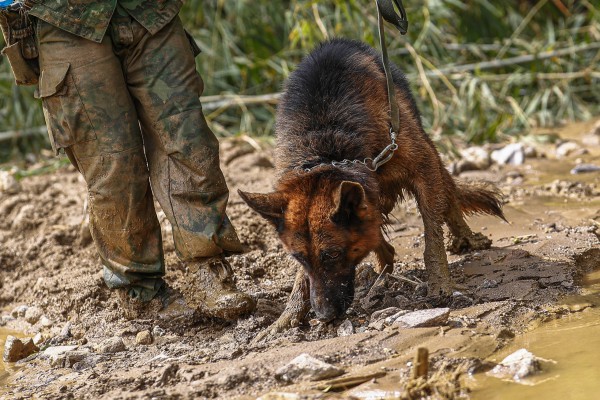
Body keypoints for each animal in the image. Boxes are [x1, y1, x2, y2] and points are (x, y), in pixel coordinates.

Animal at [237, 38, 504, 338]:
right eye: (299, 258)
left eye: (332, 254)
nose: (324, 316)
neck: (327, 151)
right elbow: (302, 278)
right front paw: (289, 314)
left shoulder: (422, 167)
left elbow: (432, 238)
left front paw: (439, 283)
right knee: (381, 239)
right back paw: (382, 272)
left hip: (427, 152)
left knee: (448, 198)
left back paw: (465, 237)